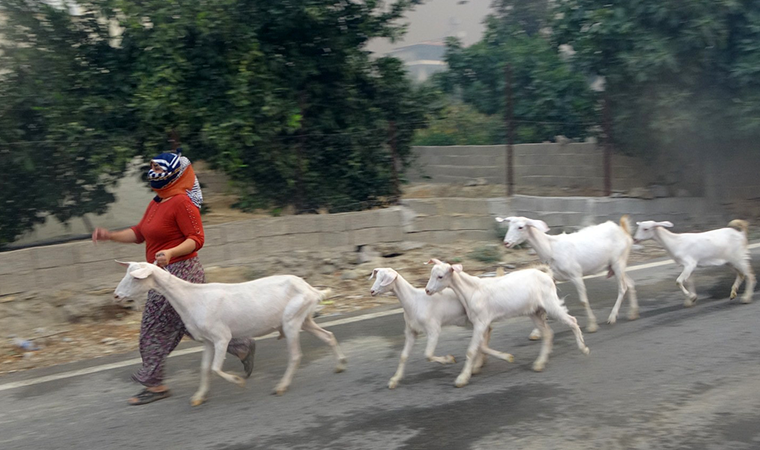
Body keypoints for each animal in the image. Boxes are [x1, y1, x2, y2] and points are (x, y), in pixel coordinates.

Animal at [113, 260, 348, 404]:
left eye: (135, 277)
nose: (116, 295)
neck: (192, 298)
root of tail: (311, 289)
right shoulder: (207, 341)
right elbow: (205, 368)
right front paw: (199, 397)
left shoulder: (221, 337)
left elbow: (216, 368)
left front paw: (238, 381)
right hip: (304, 319)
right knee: (328, 336)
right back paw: (339, 365)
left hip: (291, 321)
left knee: (296, 355)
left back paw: (281, 386)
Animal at [422, 260, 588, 386]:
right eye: (431, 274)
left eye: (440, 276)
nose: (427, 291)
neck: (472, 291)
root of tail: (546, 275)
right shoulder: (481, 323)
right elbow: (481, 346)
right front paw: (479, 366)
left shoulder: (481, 322)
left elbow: (472, 350)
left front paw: (462, 378)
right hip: (533, 312)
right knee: (548, 333)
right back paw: (539, 364)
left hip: (551, 304)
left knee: (572, 321)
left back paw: (583, 349)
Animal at [496, 214, 640, 334]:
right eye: (509, 225)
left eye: (520, 227)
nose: (506, 243)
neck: (551, 249)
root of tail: (624, 231)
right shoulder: (552, 277)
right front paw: (537, 332)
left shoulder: (576, 274)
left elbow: (583, 301)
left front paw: (592, 326)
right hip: (614, 266)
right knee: (630, 283)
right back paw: (632, 314)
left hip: (618, 262)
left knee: (623, 287)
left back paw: (612, 317)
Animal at [628, 219, 756, 306]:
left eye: (645, 229)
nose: (635, 239)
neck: (676, 242)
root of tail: (741, 234)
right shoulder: (687, 266)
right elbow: (689, 281)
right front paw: (691, 299)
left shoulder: (690, 263)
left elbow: (678, 281)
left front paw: (691, 297)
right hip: (730, 261)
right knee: (741, 274)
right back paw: (733, 293)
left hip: (739, 258)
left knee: (750, 276)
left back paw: (746, 298)